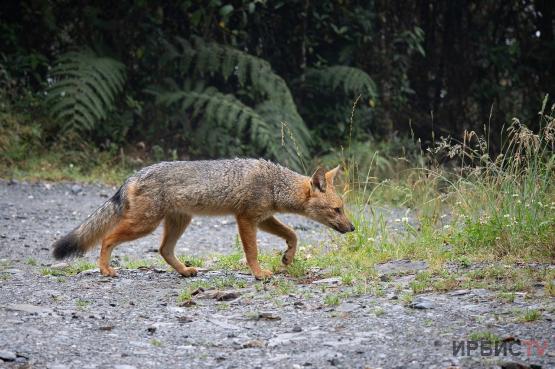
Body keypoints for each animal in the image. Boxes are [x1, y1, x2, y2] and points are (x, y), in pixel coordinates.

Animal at [53, 158, 356, 278]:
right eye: (337, 210)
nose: (353, 228)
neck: (274, 184)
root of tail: (134, 174)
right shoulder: (246, 219)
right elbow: (252, 252)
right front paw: (259, 274)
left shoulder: (264, 218)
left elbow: (293, 234)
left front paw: (287, 258)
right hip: (144, 225)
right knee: (106, 238)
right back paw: (105, 269)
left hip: (178, 223)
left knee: (164, 250)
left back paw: (185, 271)